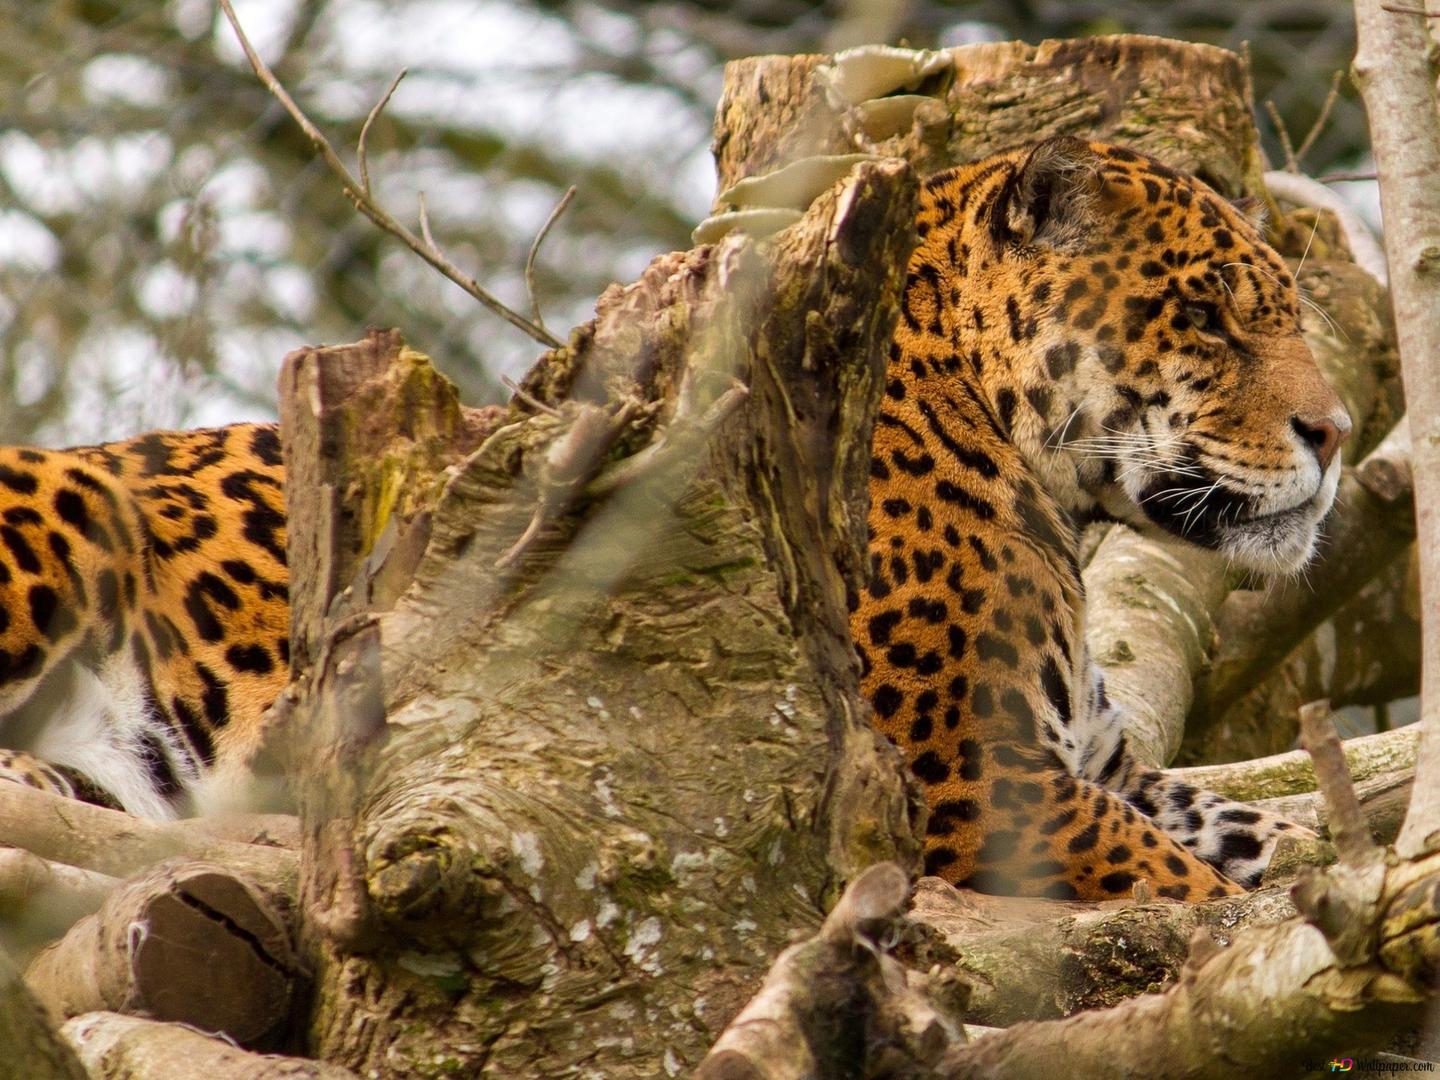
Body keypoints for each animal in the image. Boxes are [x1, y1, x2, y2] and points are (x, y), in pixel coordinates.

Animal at [851, 136, 1350, 901]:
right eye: (1201, 316)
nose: (1335, 434)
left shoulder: (1108, 765)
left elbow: (1241, 824)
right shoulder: (969, 780)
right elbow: (1180, 879)